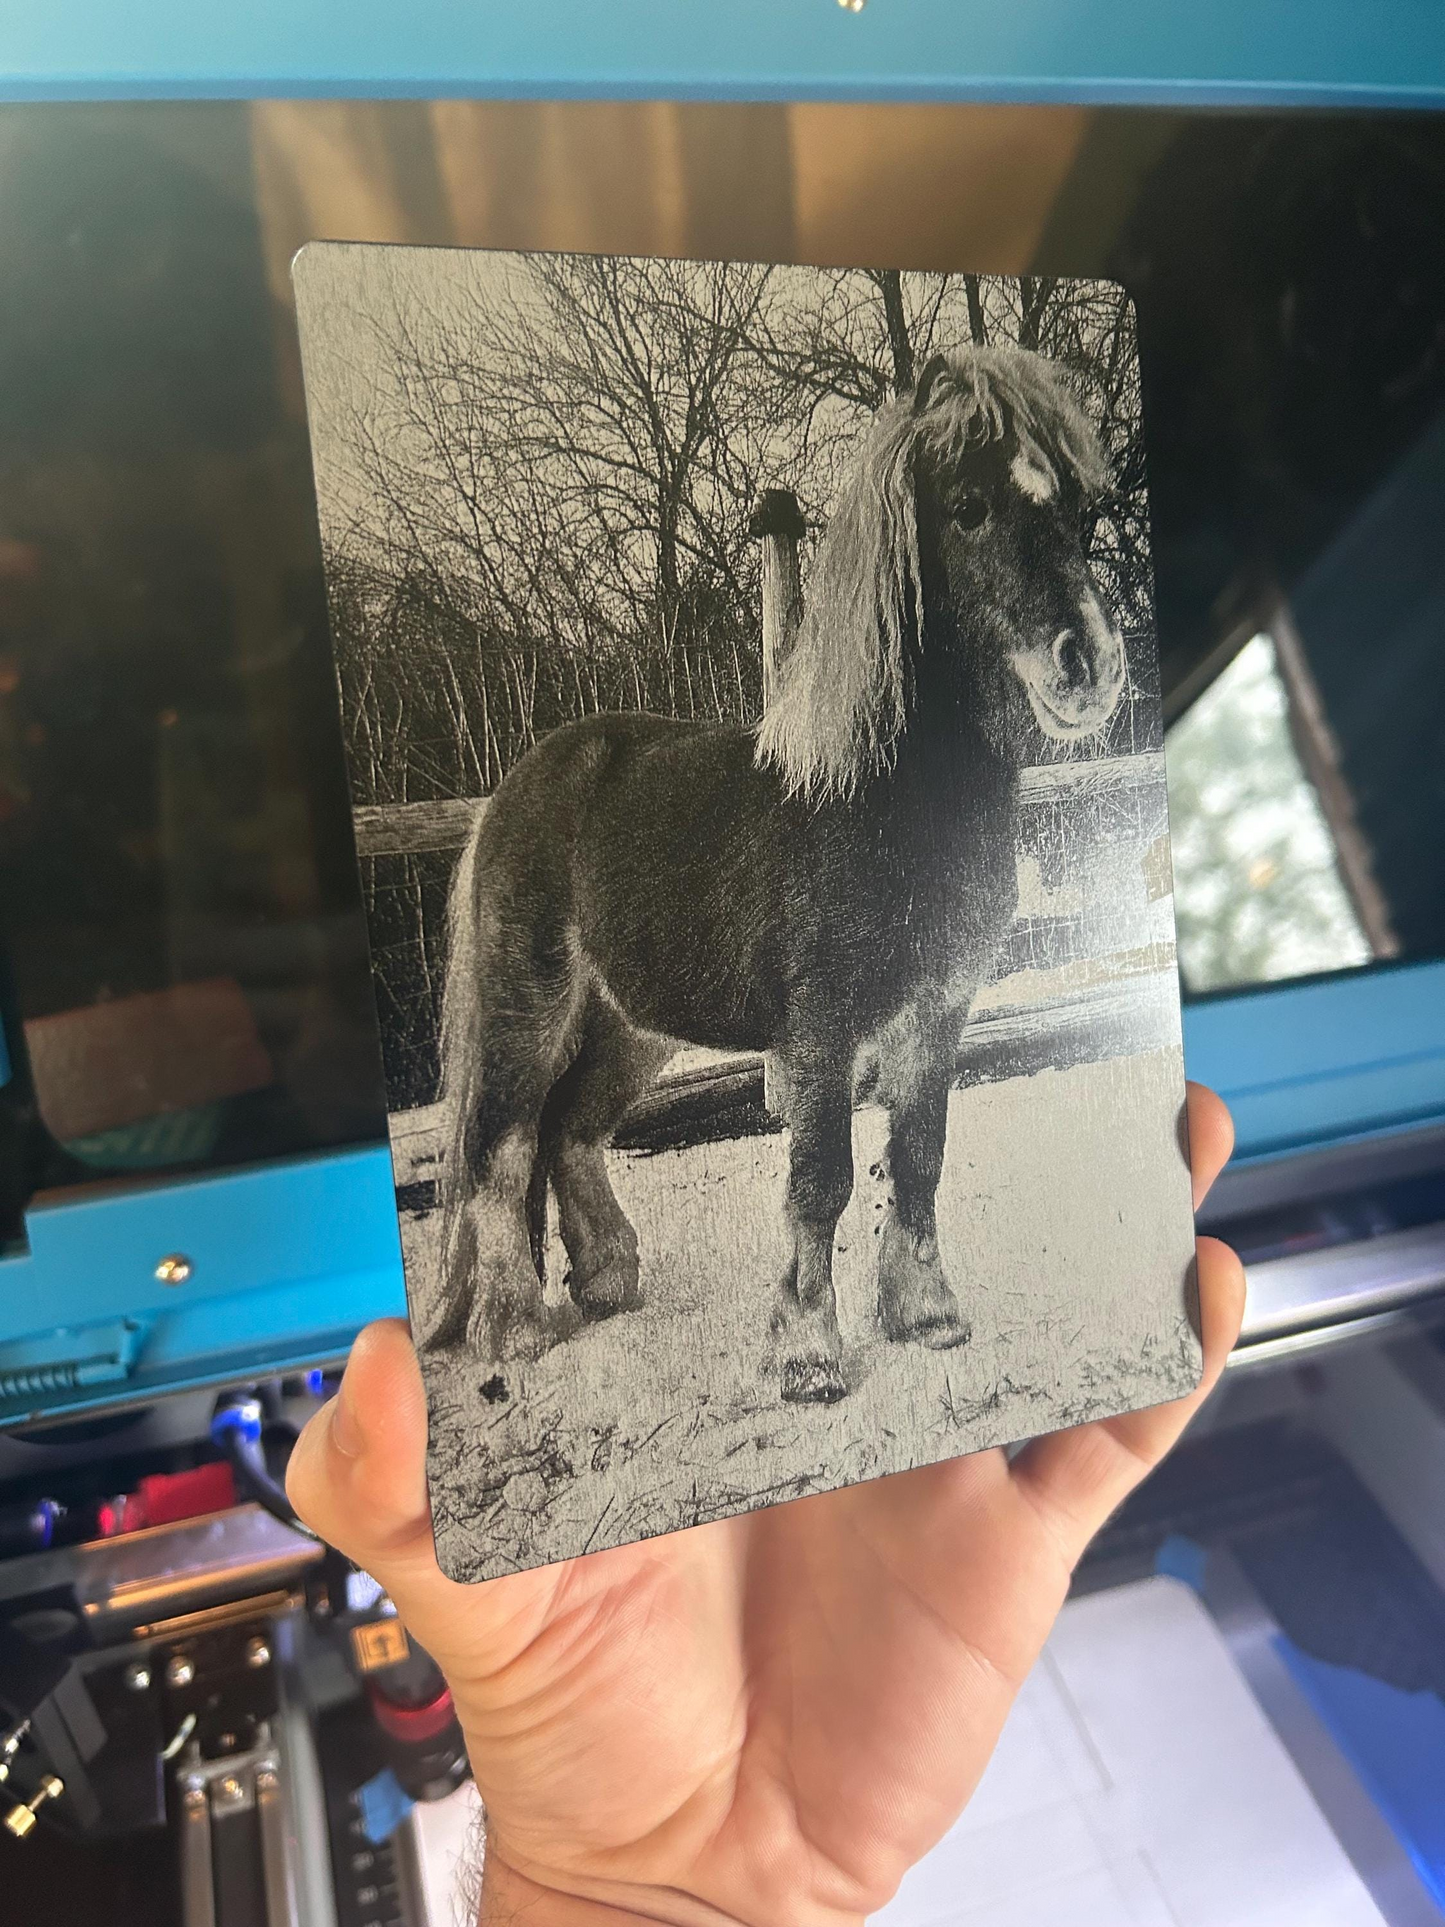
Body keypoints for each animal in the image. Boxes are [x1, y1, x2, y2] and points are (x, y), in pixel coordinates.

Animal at [422, 344, 1127, 1405]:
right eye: (965, 505)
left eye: (1084, 510)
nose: (1087, 665)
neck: (875, 803)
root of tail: (515, 788)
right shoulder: (820, 1030)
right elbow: (820, 1178)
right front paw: (806, 1354)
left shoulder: (935, 1012)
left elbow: (919, 1156)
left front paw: (925, 1316)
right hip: (529, 1008)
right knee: (500, 1148)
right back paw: (513, 1332)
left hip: (633, 1023)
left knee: (571, 1130)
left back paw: (609, 1280)